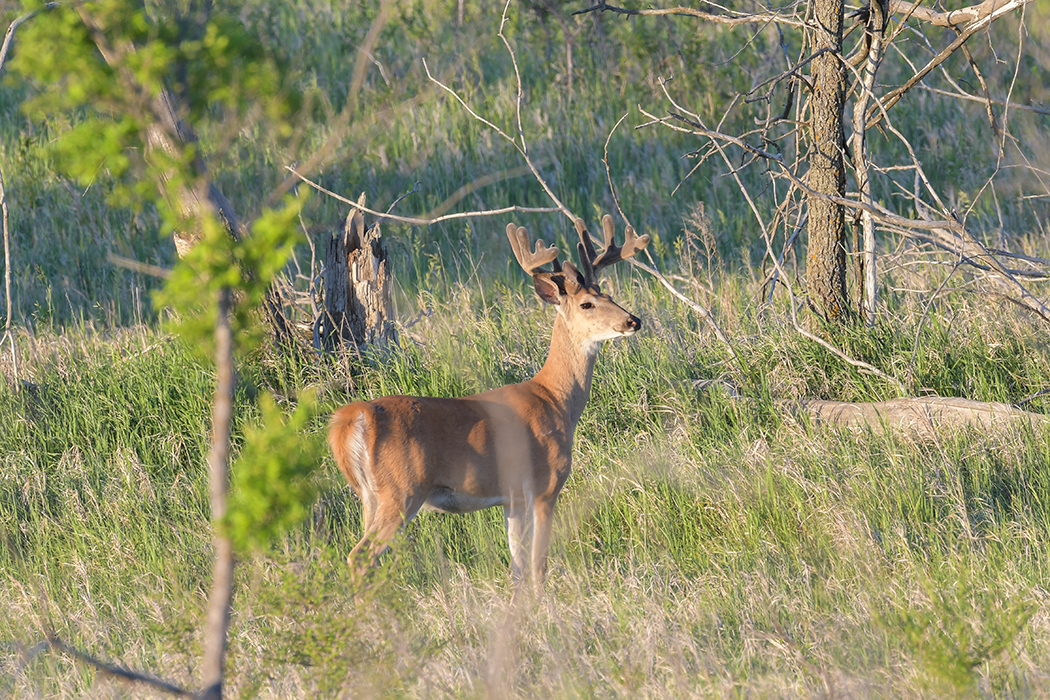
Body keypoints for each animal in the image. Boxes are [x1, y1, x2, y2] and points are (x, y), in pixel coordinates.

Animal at [328, 214, 649, 585]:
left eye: (609, 294)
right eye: (587, 304)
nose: (633, 320)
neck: (556, 400)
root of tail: (353, 417)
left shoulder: (513, 499)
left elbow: (518, 567)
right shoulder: (545, 485)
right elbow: (538, 565)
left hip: (369, 495)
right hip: (401, 489)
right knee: (359, 556)